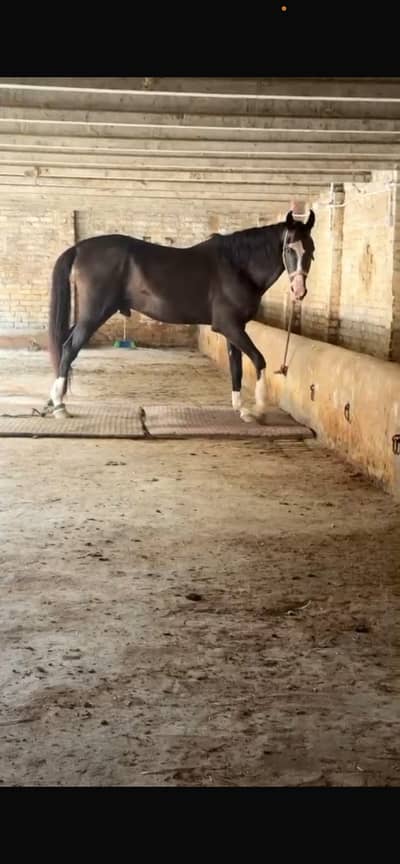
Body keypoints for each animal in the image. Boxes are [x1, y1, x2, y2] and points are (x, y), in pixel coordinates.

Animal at [47, 209, 315, 420]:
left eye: (311, 249)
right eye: (289, 248)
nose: (299, 291)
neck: (237, 266)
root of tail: (79, 248)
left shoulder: (235, 329)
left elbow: (237, 366)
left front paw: (240, 408)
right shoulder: (229, 326)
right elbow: (259, 360)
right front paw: (258, 409)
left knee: (64, 344)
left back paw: (54, 400)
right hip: (94, 314)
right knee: (69, 348)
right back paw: (60, 405)